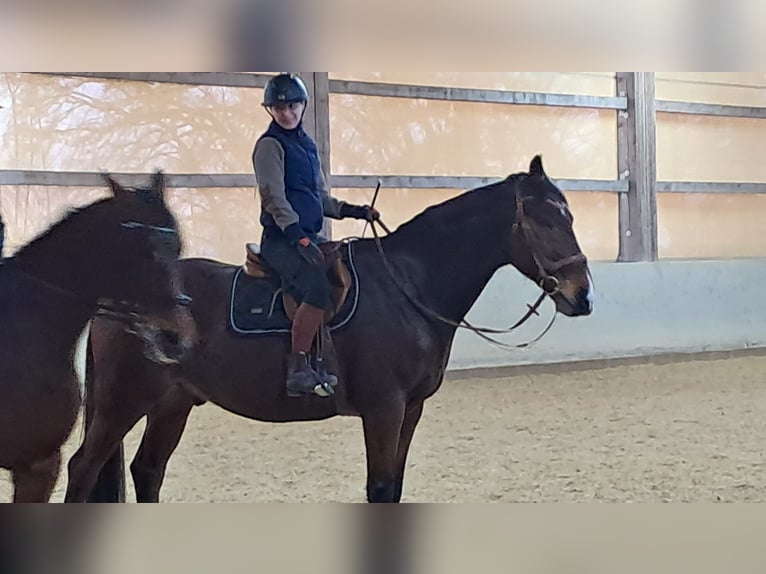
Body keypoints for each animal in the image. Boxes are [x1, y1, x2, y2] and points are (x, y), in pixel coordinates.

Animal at [64, 155, 594, 503]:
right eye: (546, 220)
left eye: (568, 215)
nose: (582, 295)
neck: (407, 284)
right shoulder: (384, 409)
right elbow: (379, 489)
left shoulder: (411, 409)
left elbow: (394, 488)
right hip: (122, 401)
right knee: (83, 468)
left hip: (172, 402)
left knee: (148, 471)